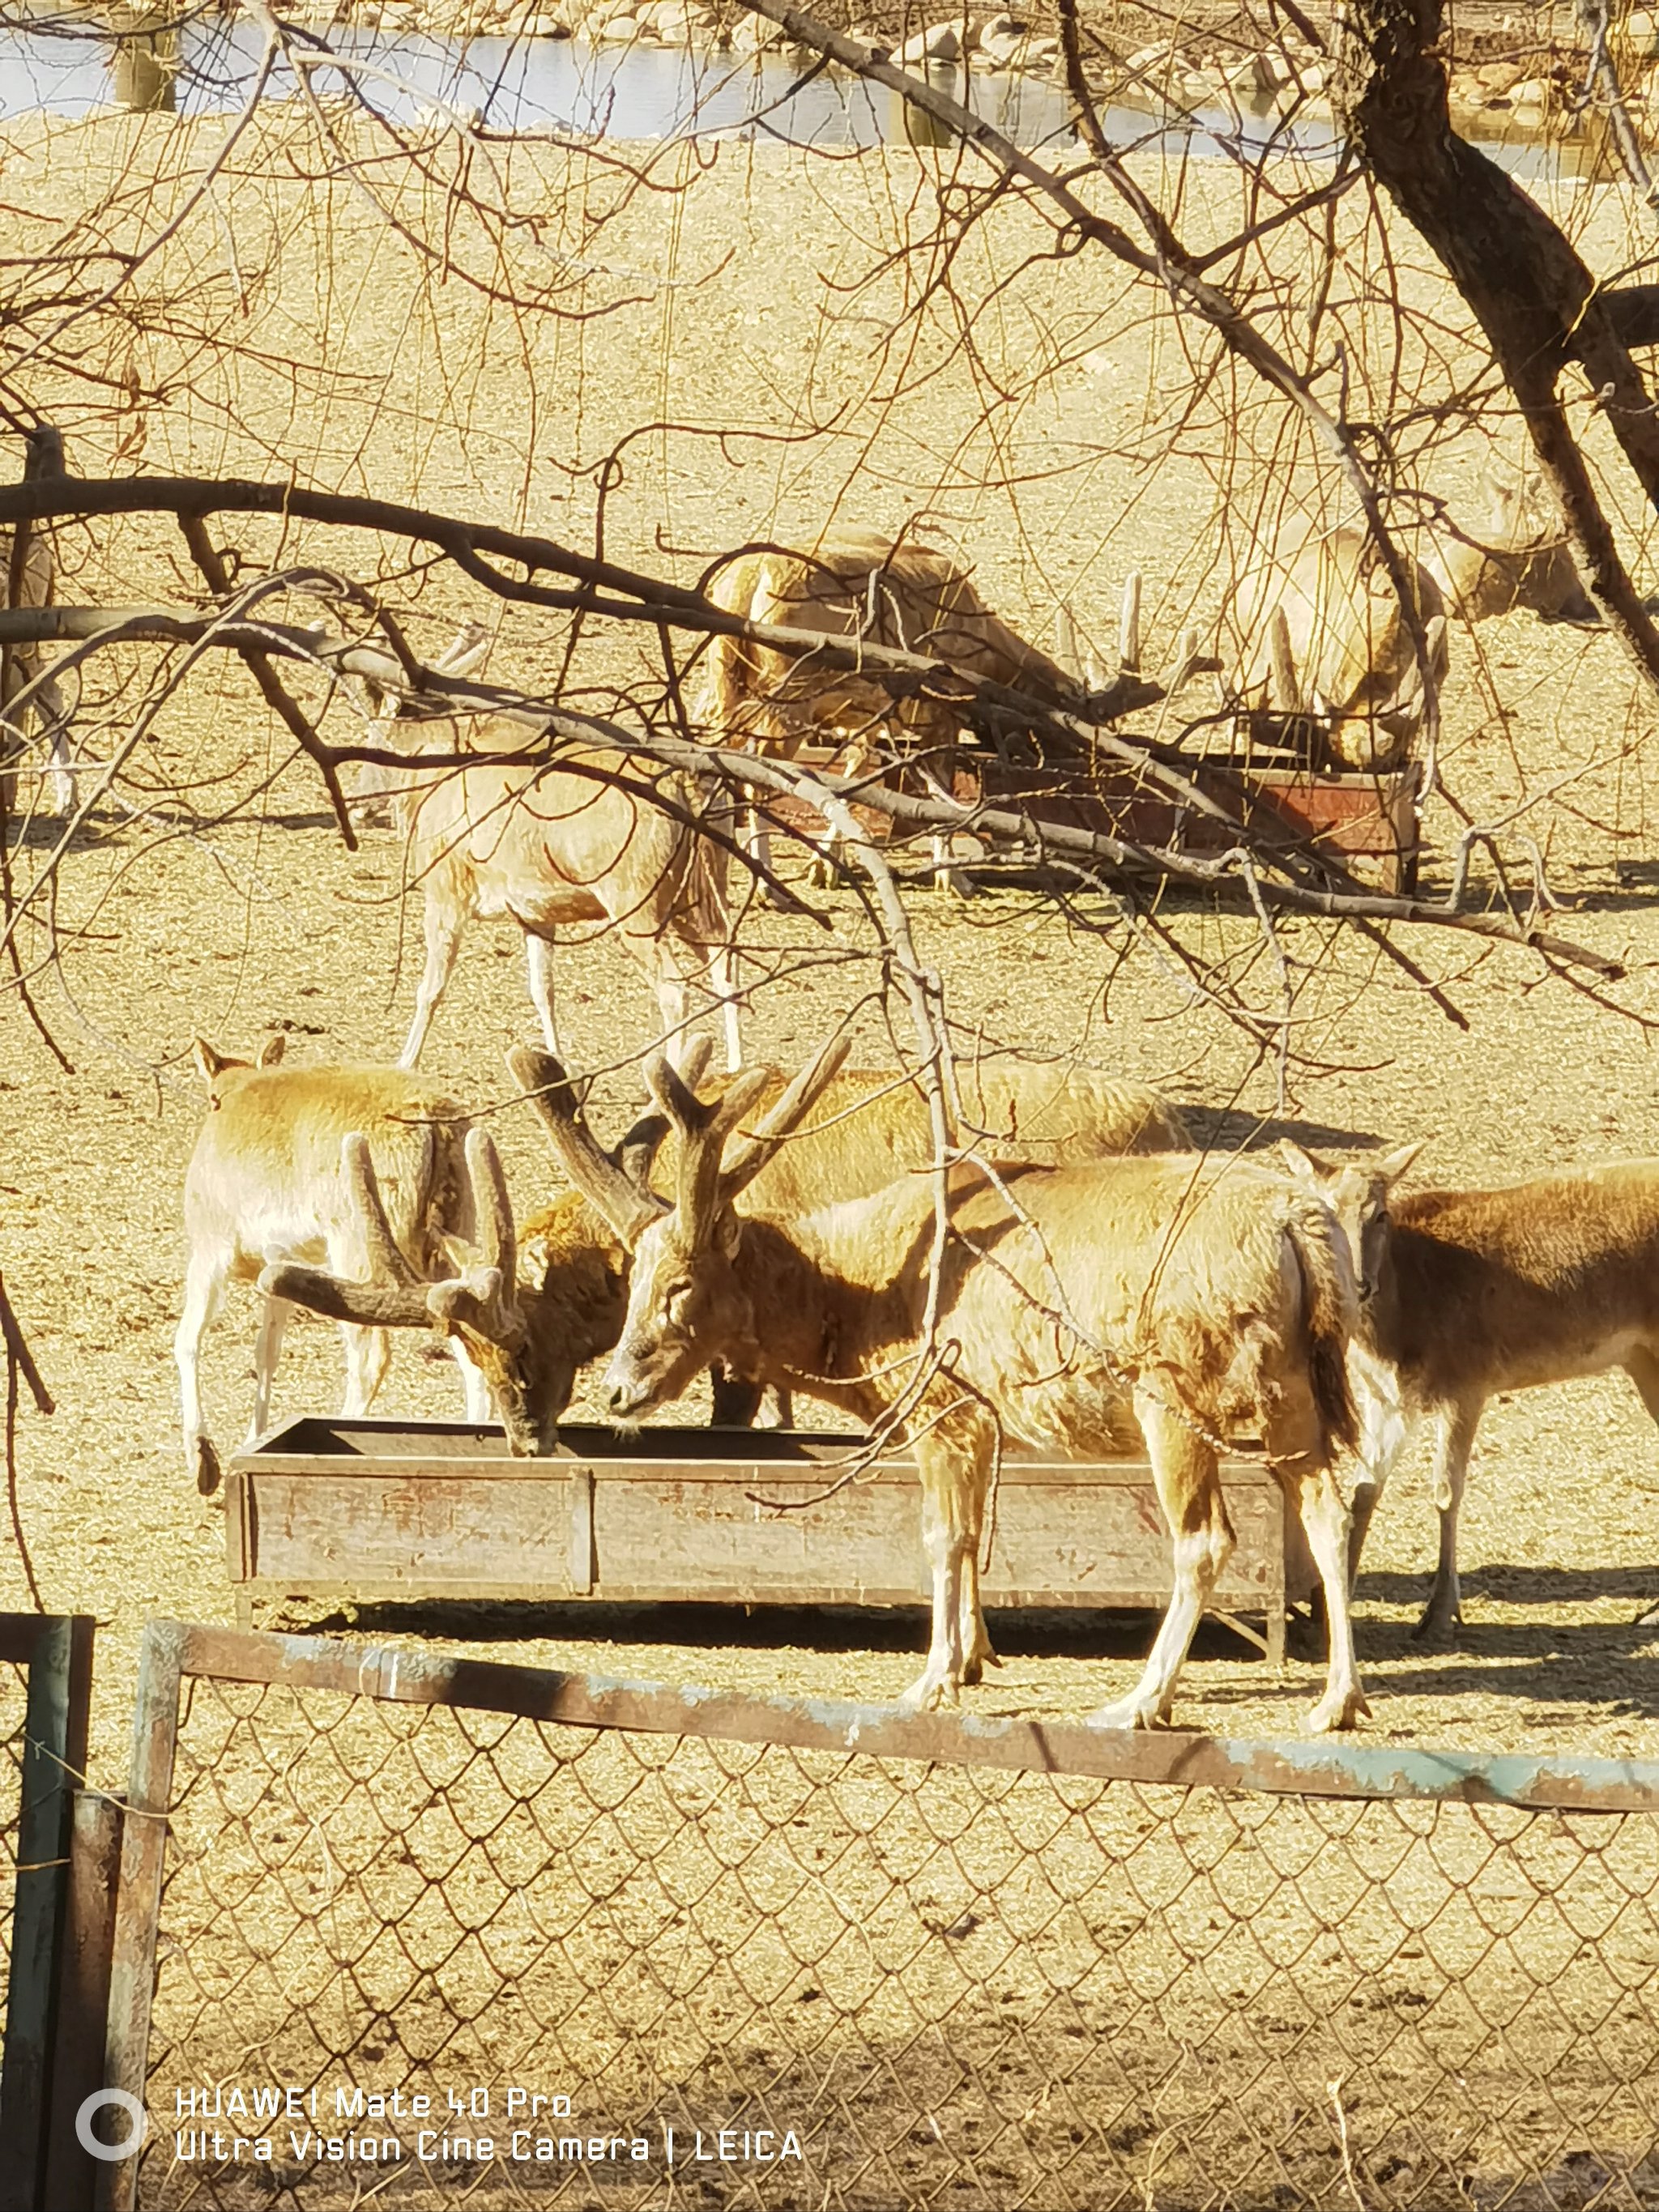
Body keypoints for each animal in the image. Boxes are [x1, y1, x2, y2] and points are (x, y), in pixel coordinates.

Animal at [176, 1030, 628, 1486]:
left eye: (211, 1096)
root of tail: (438, 1128)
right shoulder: (277, 1261)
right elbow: (265, 1352)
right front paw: (251, 1437)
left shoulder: (211, 1244)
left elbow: (188, 1337)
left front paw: (203, 1460)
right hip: (458, 1231)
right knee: (469, 1340)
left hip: (356, 1244)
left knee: (372, 1354)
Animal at [353, 703, 743, 1075]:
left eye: (372, 740)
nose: (356, 805)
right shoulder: (534, 912)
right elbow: (543, 989)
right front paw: (559, 1061)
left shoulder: (447, 889)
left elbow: (431, 988)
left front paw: (406, 1061)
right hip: (702, 893)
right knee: (727, 966)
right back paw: (735, 1066)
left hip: (636, 899)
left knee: (675, 987)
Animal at [535, 1039, 1380, 1743]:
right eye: (632, 1276)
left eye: (679, 1284)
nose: (618, 1390)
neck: (864, 1306)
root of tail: (1300, 1226)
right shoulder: (988, 1416)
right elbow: (977, 1532)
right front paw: (975, 1659)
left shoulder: (942, 1401)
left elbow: (942, 1536)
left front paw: (932, 1679)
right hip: (1294, 1389)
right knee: (1329, 1508)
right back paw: (1338, 1701)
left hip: (1173, 1391)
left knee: (1205, 1538)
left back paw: (1142, 1700)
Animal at [1282, 1141, 1659, 1645]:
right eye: (1320, 1212)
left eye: (1380, 1214)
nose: (1359, 1283)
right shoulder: (1386, 1399)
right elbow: (1364, 1490)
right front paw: (1325, 1610)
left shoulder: (1467, 1380)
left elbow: (1446, 1490)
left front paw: (1439, 1615)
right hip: (1642, 1358)